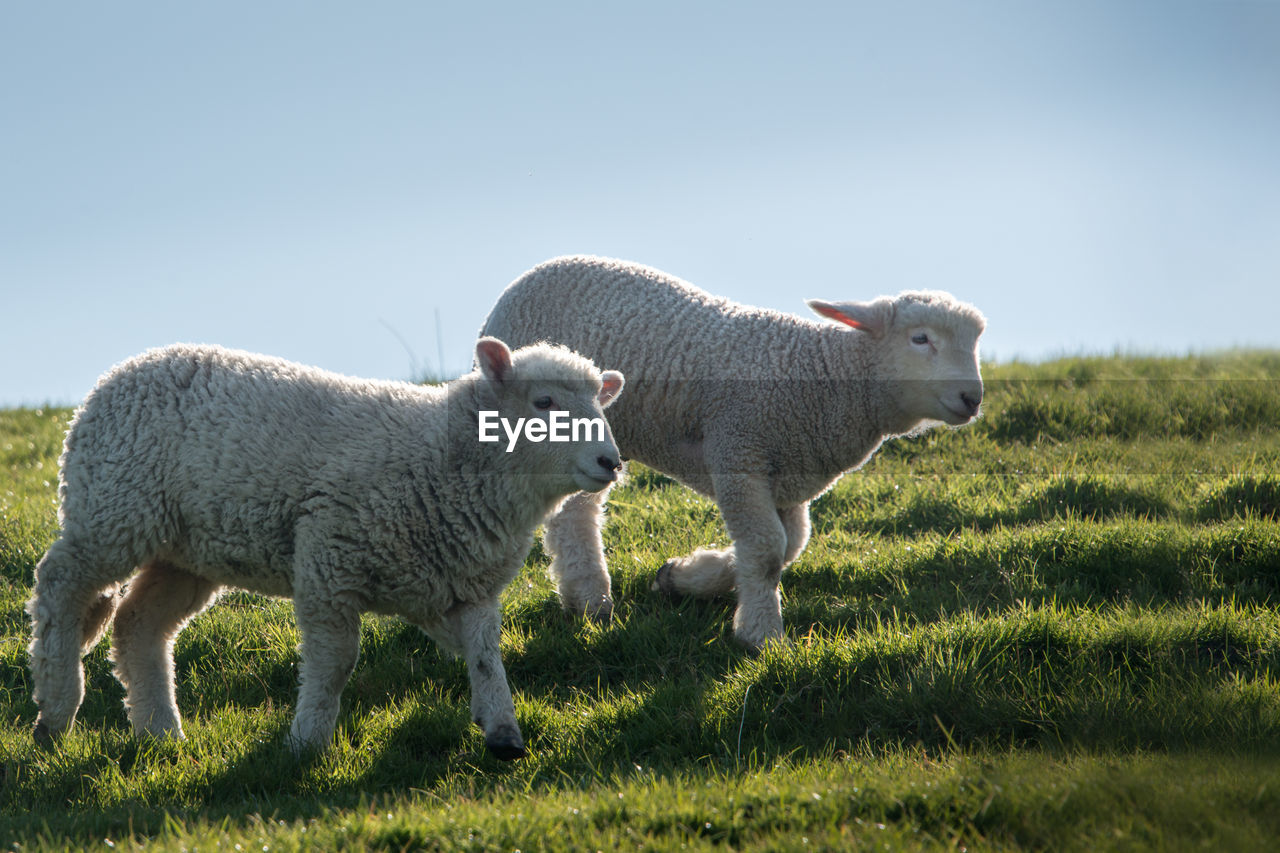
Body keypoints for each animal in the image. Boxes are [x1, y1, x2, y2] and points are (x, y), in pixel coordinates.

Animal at [27, 335, 627, 753]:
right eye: (544, 402)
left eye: (602, 407)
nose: (611, 462)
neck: (447, 458)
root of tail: (121, 372)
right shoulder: (327, 558)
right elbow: (336, 662)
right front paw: (306, 740)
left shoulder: (466, 584)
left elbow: (485, 657)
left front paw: (502, 731)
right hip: (114, 511)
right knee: (59, 586)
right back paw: (56, 709)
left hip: (185, 550)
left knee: (138, 625)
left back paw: (160, 732)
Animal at [481, 252, 988, 645]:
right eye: (920, 338)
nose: (972, 398)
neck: (822, 378)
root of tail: (536, 270)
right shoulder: (739, 451)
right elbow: (765, 551)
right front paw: (760, 634)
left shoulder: (788, 476)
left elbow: (789, 546)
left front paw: (684, 578)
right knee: (574, 516)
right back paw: (591, 597)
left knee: (578, 511)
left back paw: (586, 596)